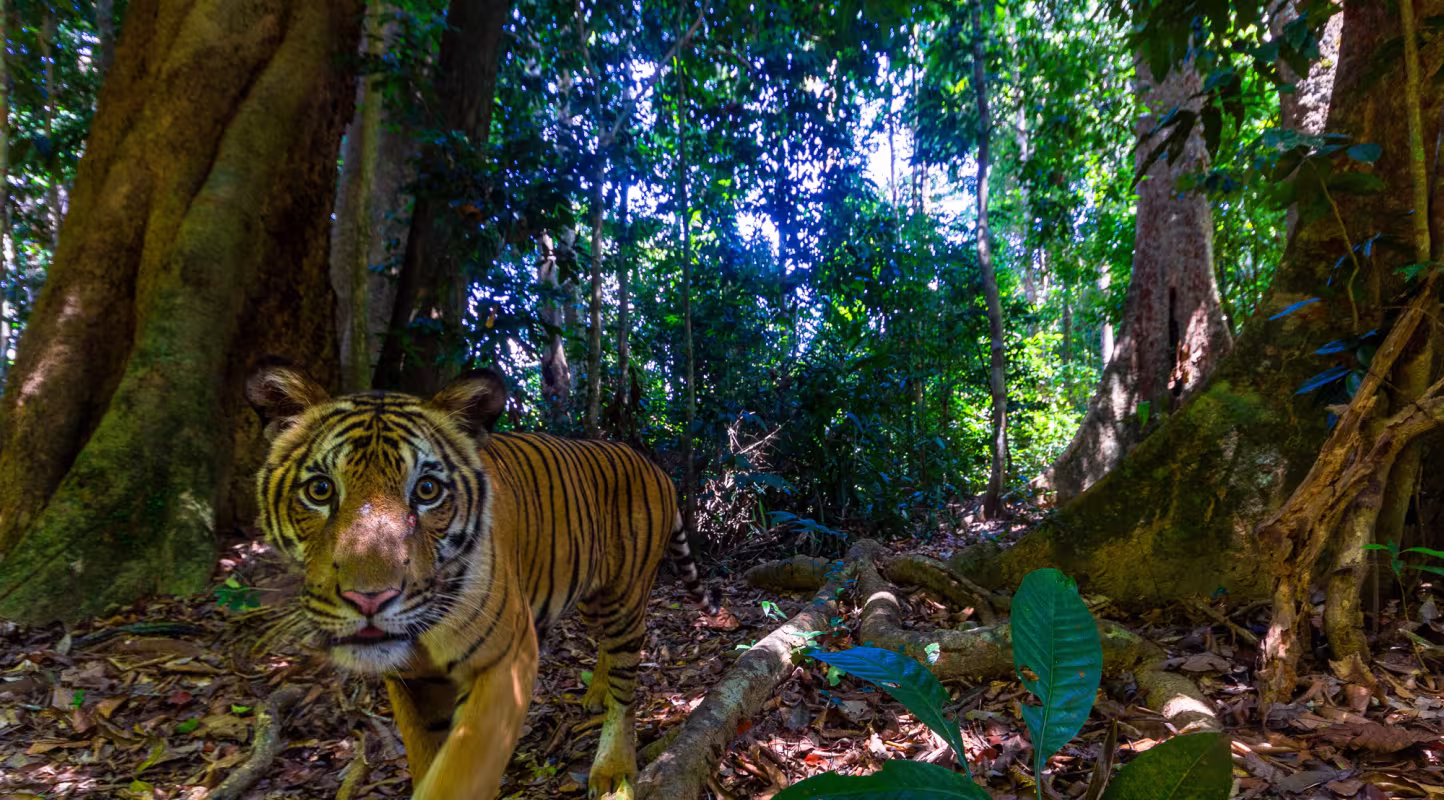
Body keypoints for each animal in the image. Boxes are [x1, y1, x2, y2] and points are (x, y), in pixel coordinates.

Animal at [245, 359, 714, 799]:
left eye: (427, 490)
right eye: (320, 490)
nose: (369, 600)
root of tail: (652, 464)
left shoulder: (506, 662)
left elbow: (458, 773)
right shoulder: (408, 680)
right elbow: (425, 757)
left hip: (623, 598)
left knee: (625, 684)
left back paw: (613, 770)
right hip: (591, 596)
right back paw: (595, 692)